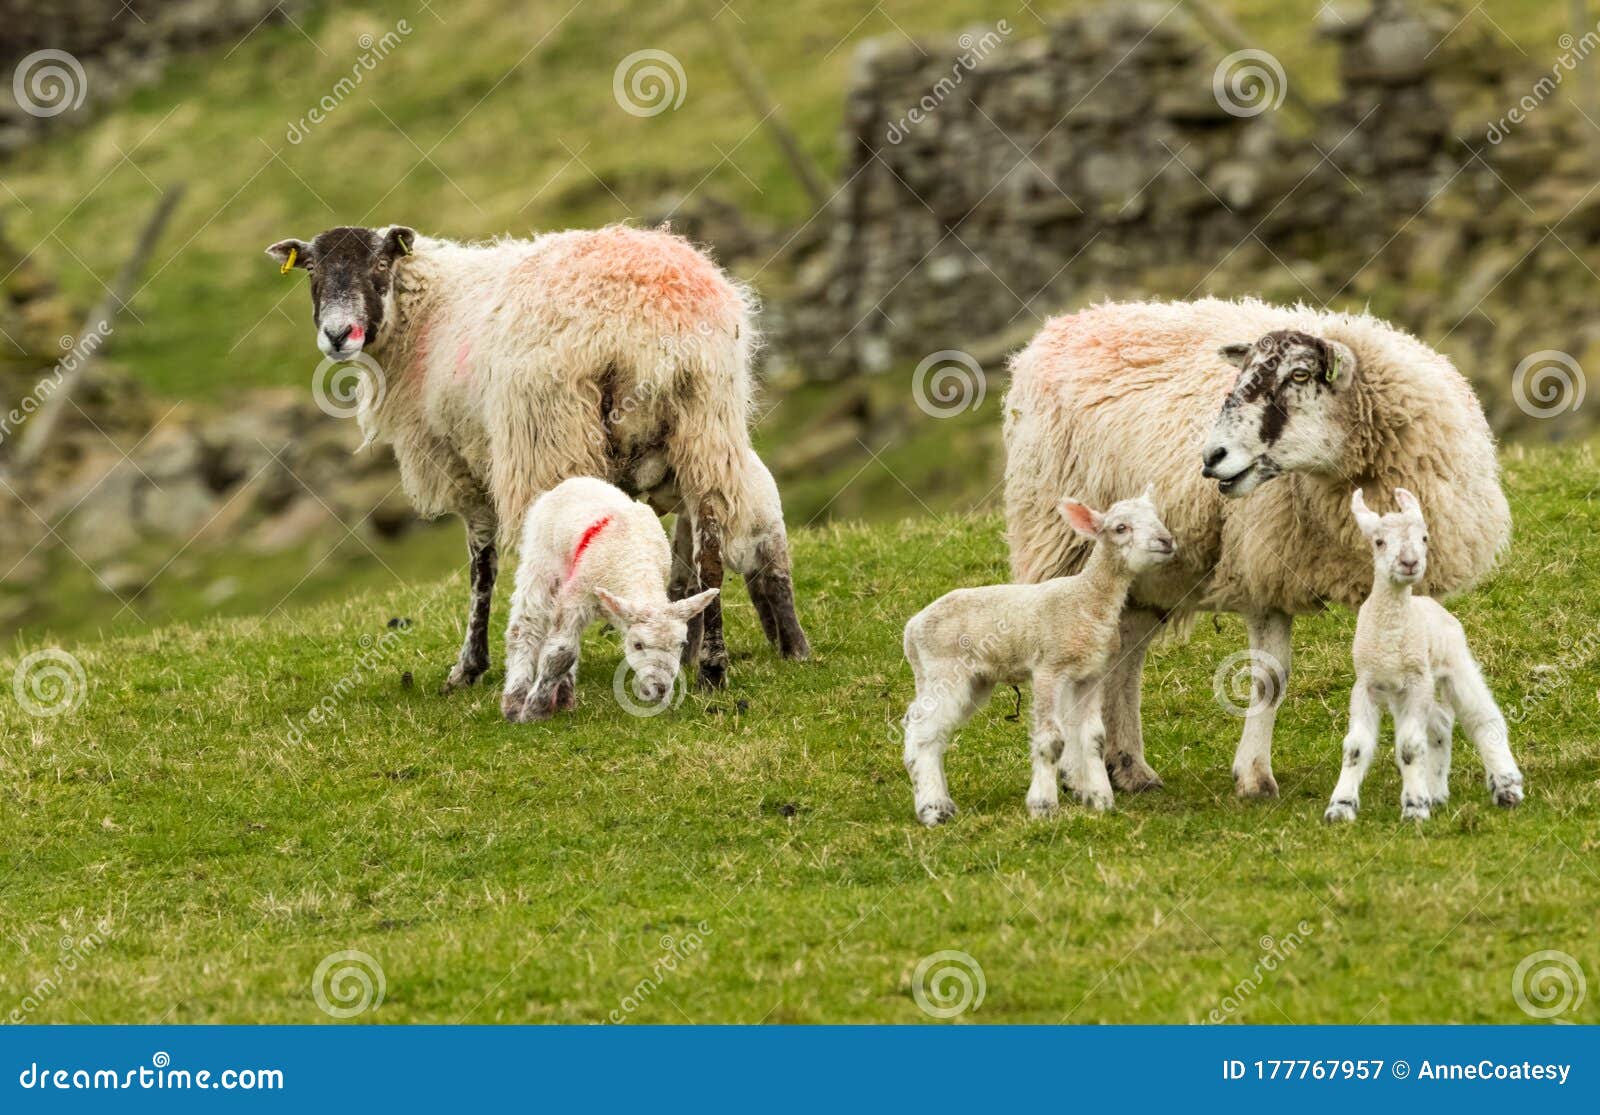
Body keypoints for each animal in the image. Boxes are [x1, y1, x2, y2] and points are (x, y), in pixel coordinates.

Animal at [267, 223, 806, 697]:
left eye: (379, 263)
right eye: (311, 269)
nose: (338, 334)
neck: (423, 312)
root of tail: (647, 328)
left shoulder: (464, 464)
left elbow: (481, 566)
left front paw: (468, 667)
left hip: (553, 438)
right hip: (707, 426)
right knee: (709, 551)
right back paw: (713, 669)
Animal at [505, 476, 720, 723]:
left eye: (682, 644)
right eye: (638, 645)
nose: (660, 689)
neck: (635, 561)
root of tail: (578, 480)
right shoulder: (576, 597)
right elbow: (562, 654)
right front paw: (534, 711)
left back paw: (564, 697)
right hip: (540, 562)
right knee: (525, 627)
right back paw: (514, 700)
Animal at [902, 489, 1177, 825]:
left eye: (1157, 517)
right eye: (1121, 527)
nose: (1166, 540)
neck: (1087, 598)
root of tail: (912, 629)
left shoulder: (1090, 675)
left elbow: (1095, 738)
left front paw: (1101, 800)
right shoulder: (1049, 669)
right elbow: (1051, 740)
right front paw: (1043, 806)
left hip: (968, 681)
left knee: (932, 731)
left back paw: (940, 802)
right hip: (945, 670)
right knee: (921, 731)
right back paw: (933, 810)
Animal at [1004, 300, 1504, 796]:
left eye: (1300, 375)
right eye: (1240, 375)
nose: (1211, 457)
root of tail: (1065, 323)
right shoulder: (1264, 570)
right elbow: (1269, 679)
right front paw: (1255, 776)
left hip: (1143, 578)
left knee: (1124, 657)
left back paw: (1129, 768)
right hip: (1059, 545)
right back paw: (1076, 773)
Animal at [1324, 486, 1523, 819]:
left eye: (1425, 538)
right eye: (1379, 541)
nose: (1409, 562)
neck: (1390, 633)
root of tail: (1430, 603)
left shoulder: (1417, 681)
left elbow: (1409, 747)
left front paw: (1415, 807)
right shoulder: (1367, 683)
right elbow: (1356, 747)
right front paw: (1340, 807)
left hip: (1453, 662)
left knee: (1483, 719)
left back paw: (1507, 788)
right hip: (1406, 690)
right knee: (1440, 726)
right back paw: (1437, 791)